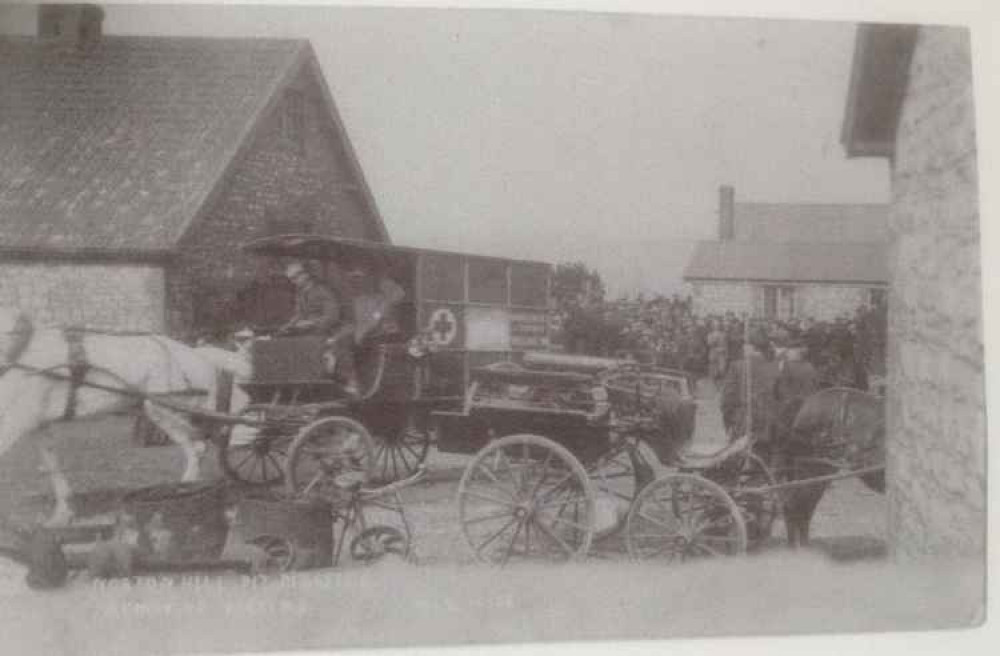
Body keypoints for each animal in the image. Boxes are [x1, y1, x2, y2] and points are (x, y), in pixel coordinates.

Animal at [0, 304, 229, 524]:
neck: (20, 351)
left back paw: (184, 491)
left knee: (197, 447)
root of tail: (201, 357)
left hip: (164, 409)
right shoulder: (37, 423)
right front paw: (62, 514)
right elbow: (52, 465)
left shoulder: (17, 420)